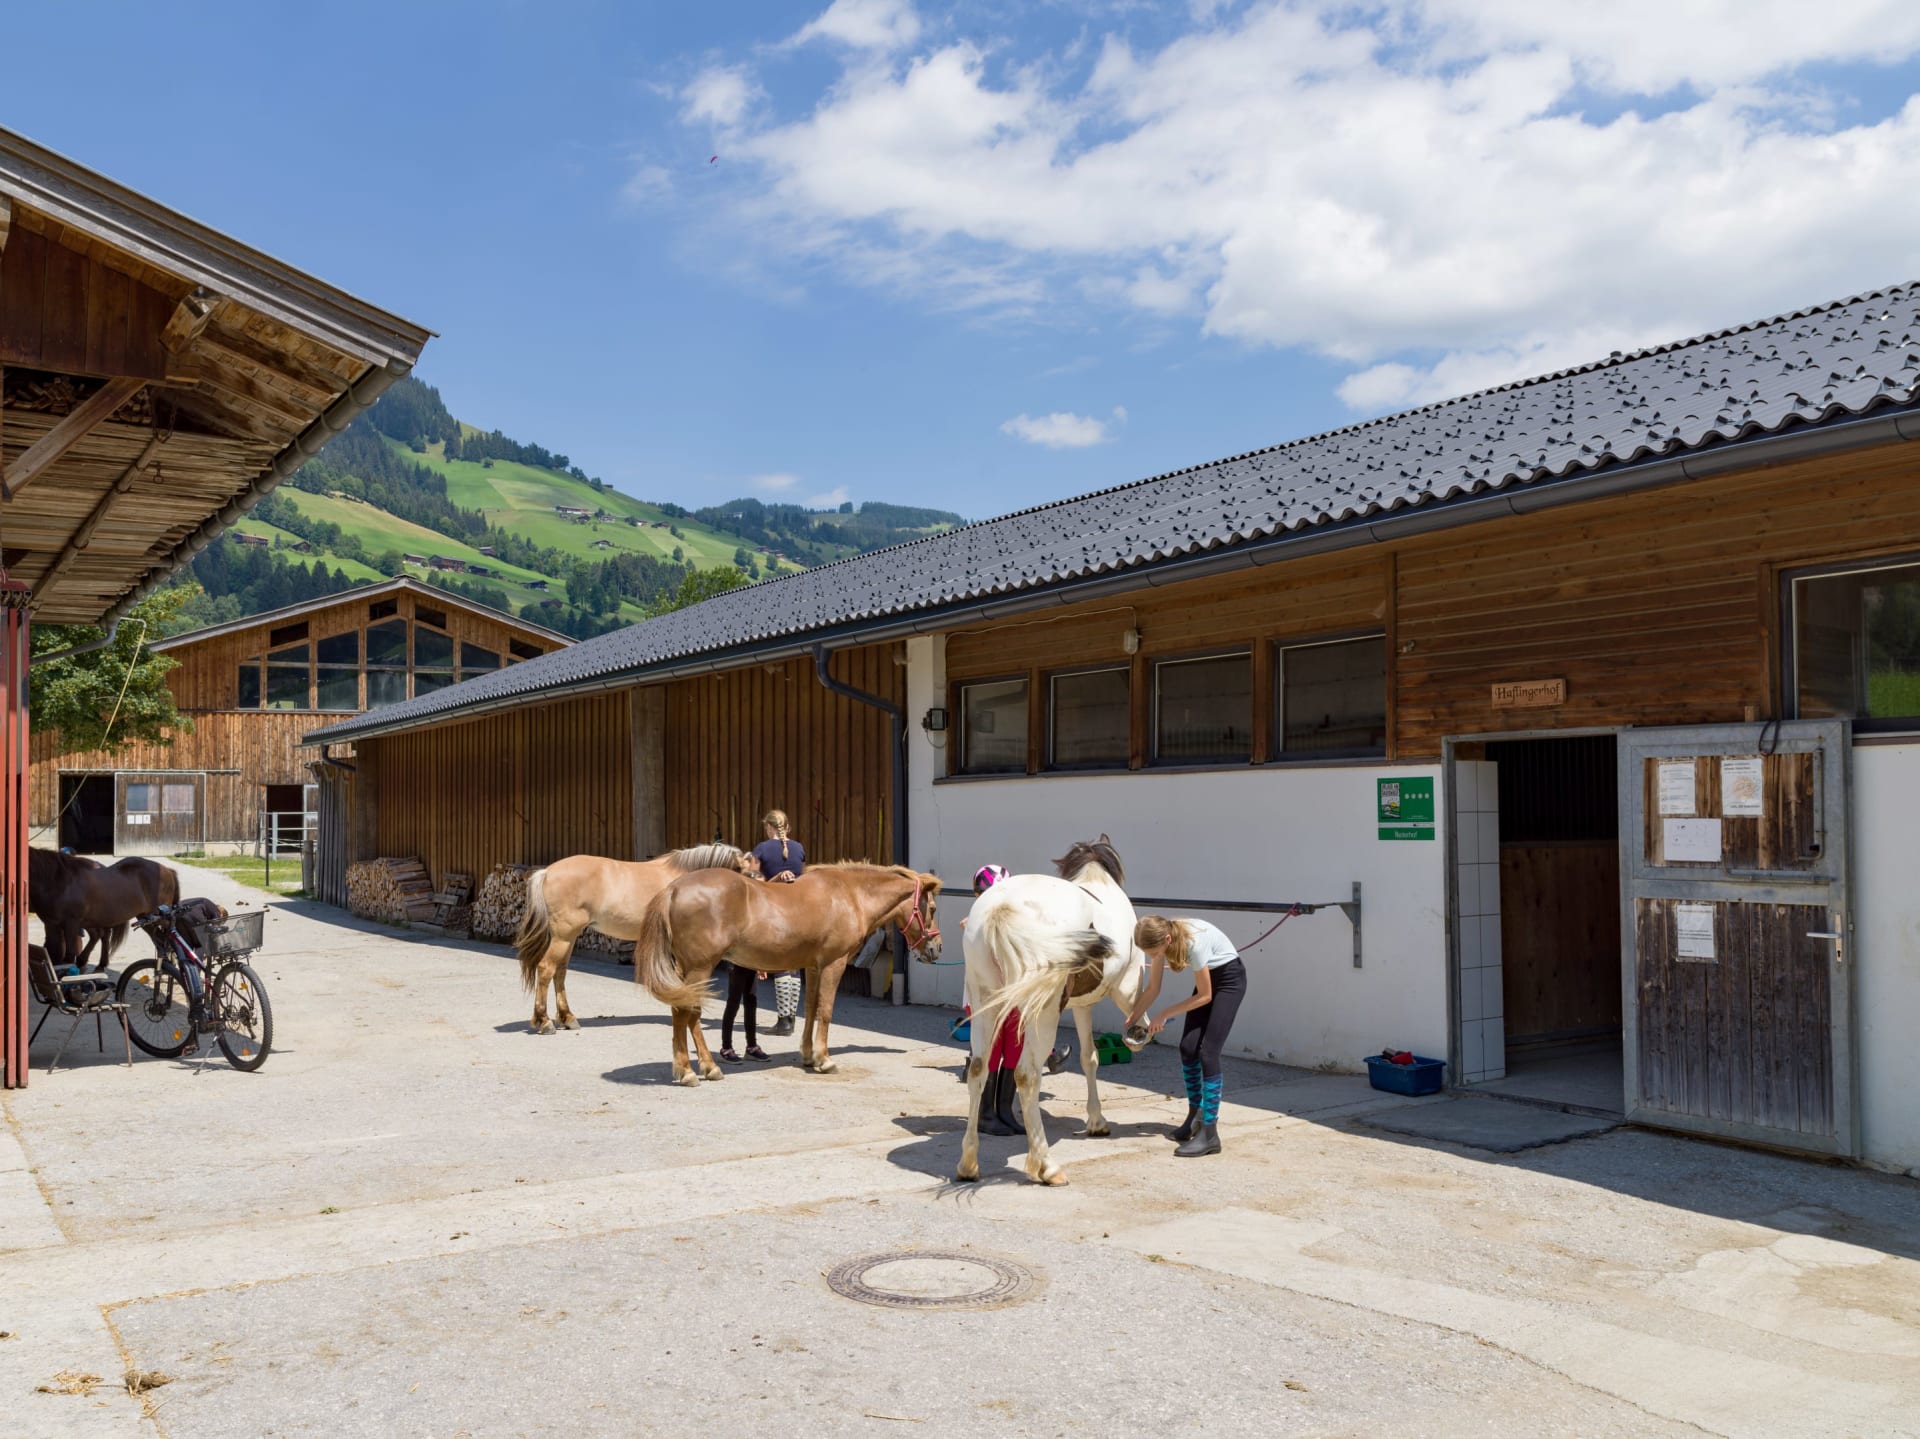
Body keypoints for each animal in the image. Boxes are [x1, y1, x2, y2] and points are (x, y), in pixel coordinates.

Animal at [27, 849, 178, 973]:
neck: (59, 881)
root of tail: (168, 870)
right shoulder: (51, 923)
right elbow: (52, 952)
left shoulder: (71, 924)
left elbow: (68, 955)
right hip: (145, 920)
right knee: (159, 939)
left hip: (159, 917)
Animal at [515, 844, 755, 1034]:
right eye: (751, 875)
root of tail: (547, 872)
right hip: (563, 936)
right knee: (546, 969)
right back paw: (544, 1022)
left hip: (569, 937)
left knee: (560, 972)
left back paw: (568, 1018)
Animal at [633, 862, 942, 1085]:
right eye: (933, 908)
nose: (937, 948)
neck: (850, 895)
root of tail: (673, 889)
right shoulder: (834, 964)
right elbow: (826, 1010)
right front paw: (825, 1059)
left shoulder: (813, 966)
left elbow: (810, 1007)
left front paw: (808, 1055)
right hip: (699, 968)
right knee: (689, 1013)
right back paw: (698, 1070)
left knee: (680, 1012)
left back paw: (691, 1068)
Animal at [959, 835, 1147, 1187]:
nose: (1138, 1034)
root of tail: (1002, 908)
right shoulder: (1124, 988)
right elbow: (1121, 1022)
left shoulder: (1082, 1005)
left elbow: (1089, 1057)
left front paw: (1096, 1120)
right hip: (1042, 1014)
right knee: (1026, 1074)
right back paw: (1047, 1166)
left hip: (986, 1003)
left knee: (978, 1069)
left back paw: (968, 1164)